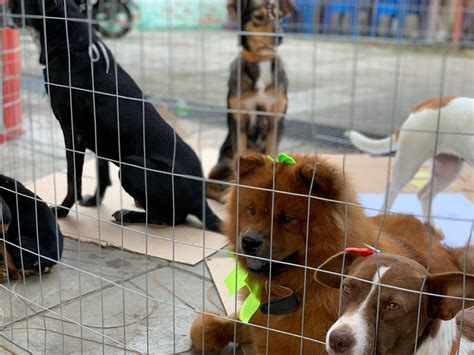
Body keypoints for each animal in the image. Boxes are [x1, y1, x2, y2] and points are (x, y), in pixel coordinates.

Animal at [6, 0, 222, 232]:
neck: (71, 45)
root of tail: (200, 199)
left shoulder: (72, 132)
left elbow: (73, 178)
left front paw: (63, 210)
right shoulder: (97, 135)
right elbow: (101, 171)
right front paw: (94, 200)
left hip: (131, 166)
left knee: (170, 218)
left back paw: (130, 214)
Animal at [206, 0, 294, 204]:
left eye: (280, 17)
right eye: (258, 17)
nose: (279, 36)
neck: (261, 61)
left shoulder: (275, 121)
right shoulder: (239, 122)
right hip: (225, 159)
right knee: (209, 184)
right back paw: (225, 195)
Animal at [344, 96, 474, 227]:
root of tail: (432, 101)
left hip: (447, 172)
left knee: (424, 196)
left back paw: (431, 228)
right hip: (407, 166)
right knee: (390, 196)